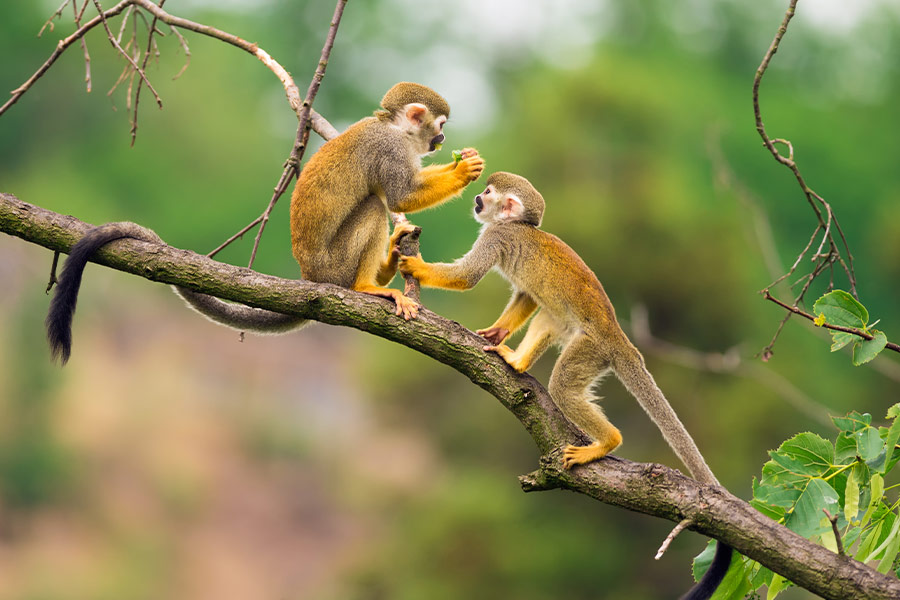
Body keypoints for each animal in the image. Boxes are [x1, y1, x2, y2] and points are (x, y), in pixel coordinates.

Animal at [46, 82, 484, 363]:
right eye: (440, 126)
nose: (442, 141)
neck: (394, 129)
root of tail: (310, 277)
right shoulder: (389, 149)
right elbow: (399, 196)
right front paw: (465, 171)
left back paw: (390, 261)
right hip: (335, 265)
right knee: (374, 207)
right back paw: (367, 286)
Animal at [397, 171, 732, 600]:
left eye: (487, 193)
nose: (475, 199)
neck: (517, 227)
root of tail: (619, 338)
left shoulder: (497, 237)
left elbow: (468, 277)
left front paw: (416, 266)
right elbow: (526, 295)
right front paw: (498, 331)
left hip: (592, 349)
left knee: (563, 386)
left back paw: (606, 442)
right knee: (548, 313)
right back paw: (518, 361)